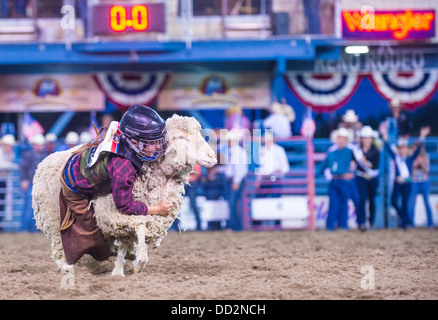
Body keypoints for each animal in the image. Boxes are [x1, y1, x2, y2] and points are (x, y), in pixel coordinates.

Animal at [33, 114, 218, 276]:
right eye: (181, 137)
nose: (212, 156)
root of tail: (44, 162)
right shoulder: (110, 213)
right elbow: (141, 224)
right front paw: (139, 261)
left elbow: (125, 243)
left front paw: (119, 270)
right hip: (55, 220)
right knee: (60, 248)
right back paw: (67, 269)